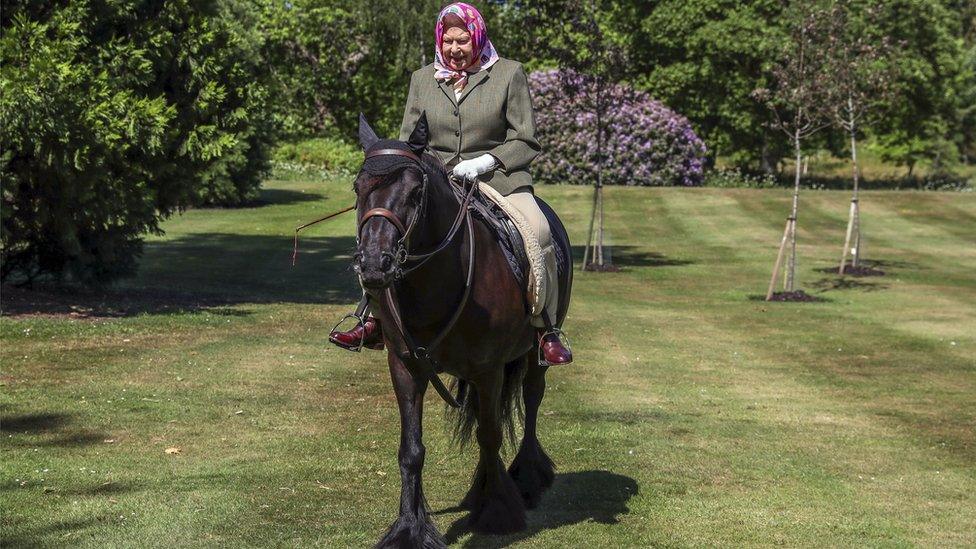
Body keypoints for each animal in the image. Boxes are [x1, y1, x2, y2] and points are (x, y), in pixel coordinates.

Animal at [356, 113, 572, 544]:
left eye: (415, 191)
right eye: (358, 187)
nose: (373, 264)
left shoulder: (489, 369)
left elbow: (489, 436)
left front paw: (497, 511)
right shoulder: (405, 366)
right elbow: (411, 449)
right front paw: (409, 528)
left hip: (534, 355)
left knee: (532, 401)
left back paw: (525, 478)